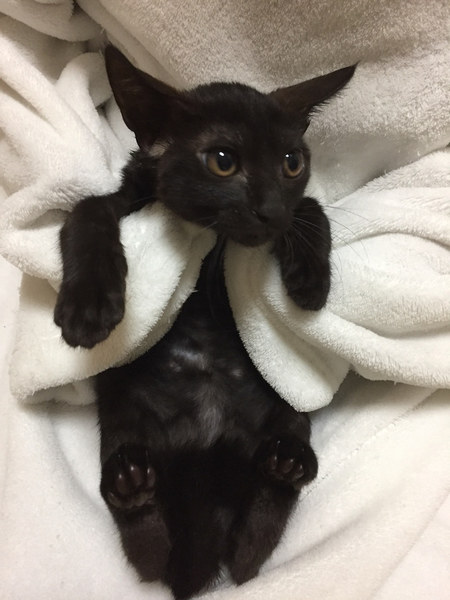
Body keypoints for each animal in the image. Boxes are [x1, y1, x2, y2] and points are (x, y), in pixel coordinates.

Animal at [54, 46, 355, 599]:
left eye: (292, 162)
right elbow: (85, 211)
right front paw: (88, 308)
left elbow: (311, 207)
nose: (269, 209)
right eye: (222, 161)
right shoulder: (116, 202)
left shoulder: (291, 209)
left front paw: (310, 280)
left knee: (250, 550)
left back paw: (284, 467)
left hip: (286, 411)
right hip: (121, 415)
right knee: (149, 551)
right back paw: (131, 485)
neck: (212, 240)